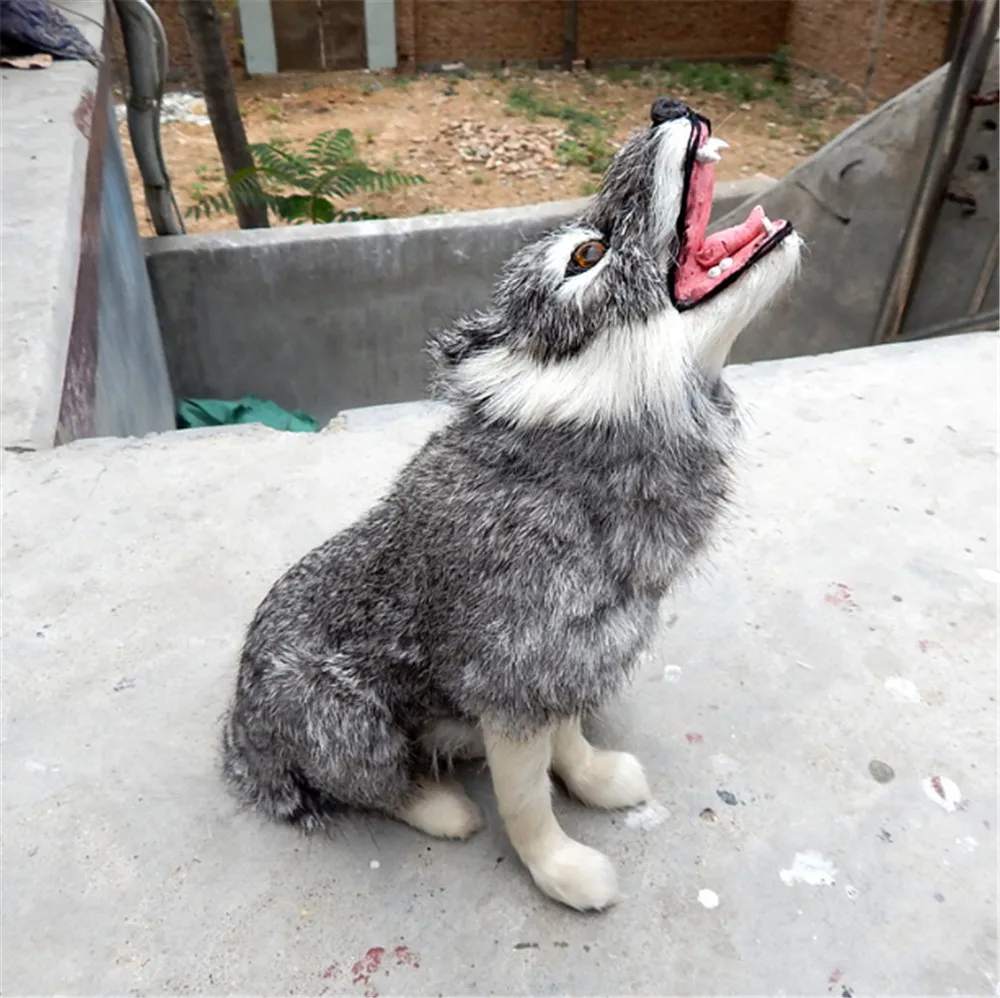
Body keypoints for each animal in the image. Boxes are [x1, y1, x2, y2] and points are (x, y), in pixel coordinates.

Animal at [221, 98, 802, 911]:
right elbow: (526, 804)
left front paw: (598, 779)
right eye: (587, 256)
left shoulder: (568, 669)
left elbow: (570, 744)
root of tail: (241, 742)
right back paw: (444, 809)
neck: (579, 460)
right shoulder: (511, 689)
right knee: (375, 785)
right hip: (344, 718)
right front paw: (567, 874)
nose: (668, 108)